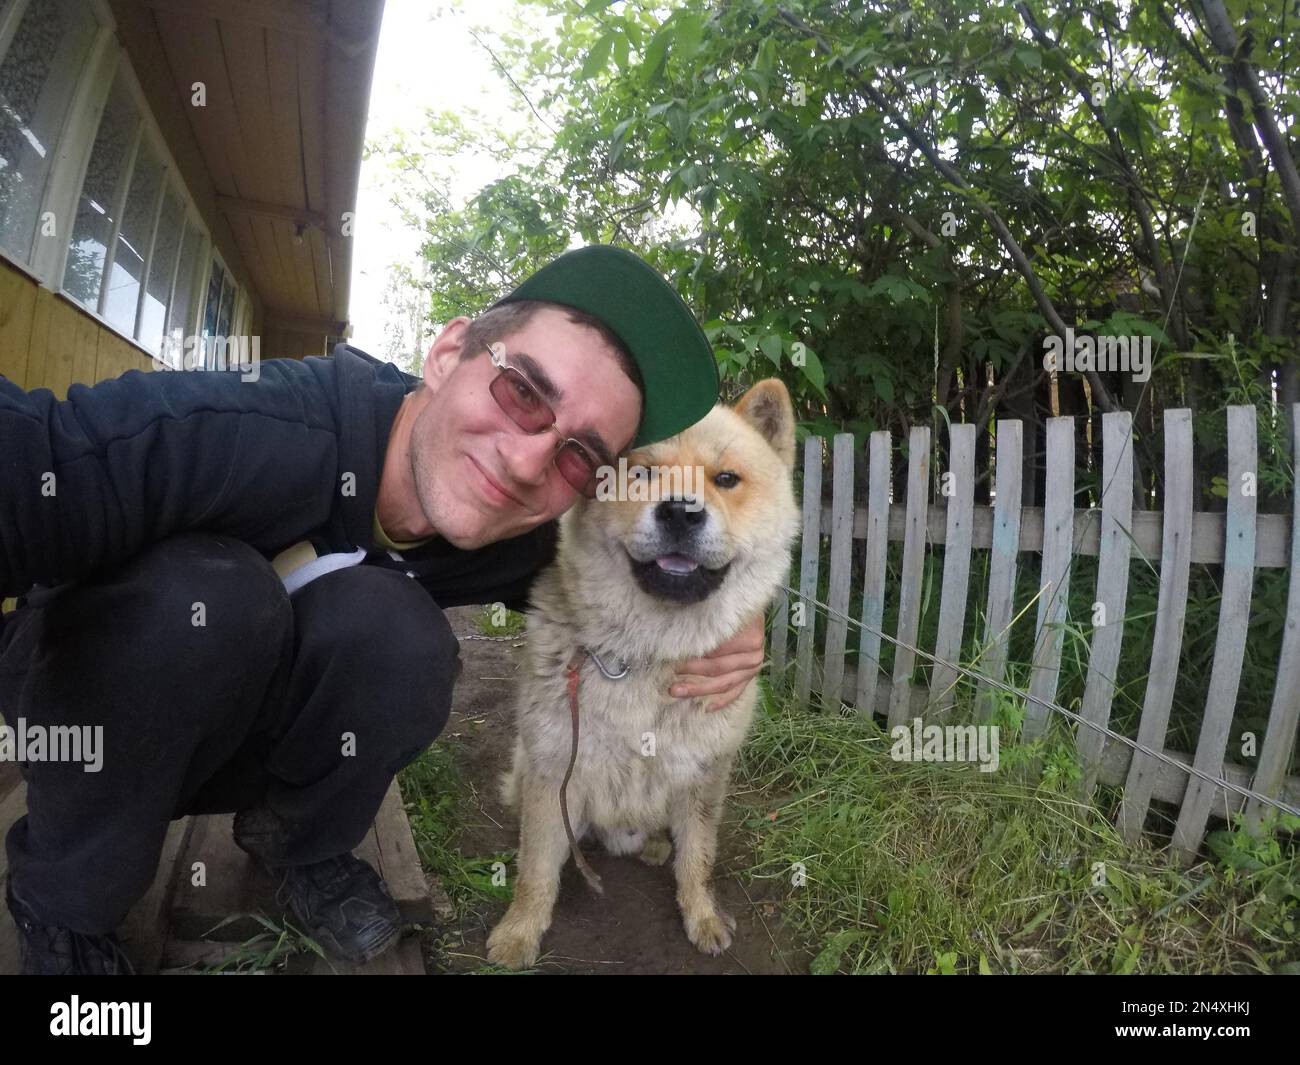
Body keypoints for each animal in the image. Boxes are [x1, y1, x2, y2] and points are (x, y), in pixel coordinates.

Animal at [486, 379, 795, 972]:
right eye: (644, 473)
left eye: (726, 479)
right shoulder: (552, 772)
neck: (651, 652)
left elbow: (698, 858)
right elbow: (534, 870)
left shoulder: (704, 776)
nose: (680, 512)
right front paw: (519, 933)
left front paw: (701, 916)